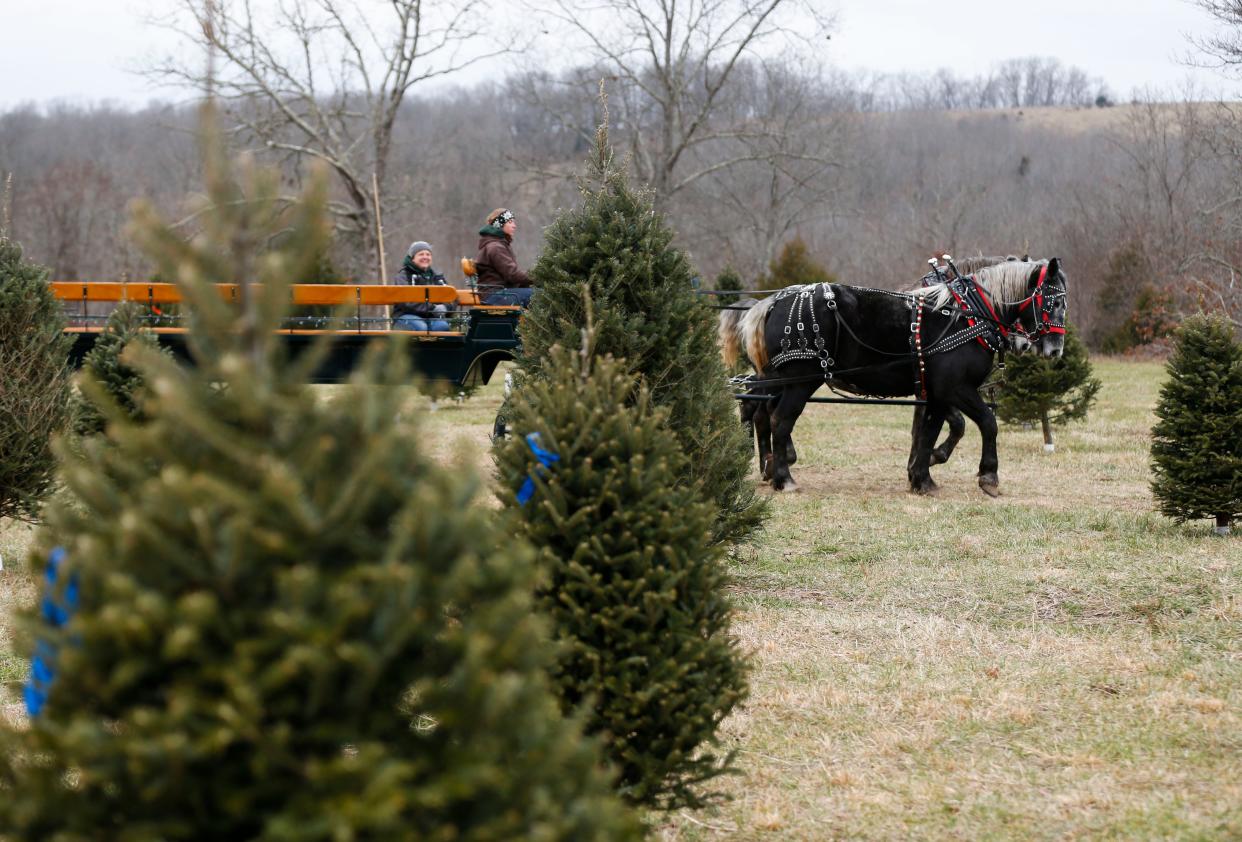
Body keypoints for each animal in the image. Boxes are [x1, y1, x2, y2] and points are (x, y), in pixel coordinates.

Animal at [725, 257, 1068, 494]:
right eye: (1054, 300)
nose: (1054, 350)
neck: (967, 315)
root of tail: (774, 300)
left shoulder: (936, 393)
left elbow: (928, 432)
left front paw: (921, 478)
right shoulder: (956, 389)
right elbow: (986, 422)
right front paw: (989, 476)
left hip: (782, 378)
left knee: (764, 411)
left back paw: (772, 466)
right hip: (800, 380)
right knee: (778, 418)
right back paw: (783, 478)